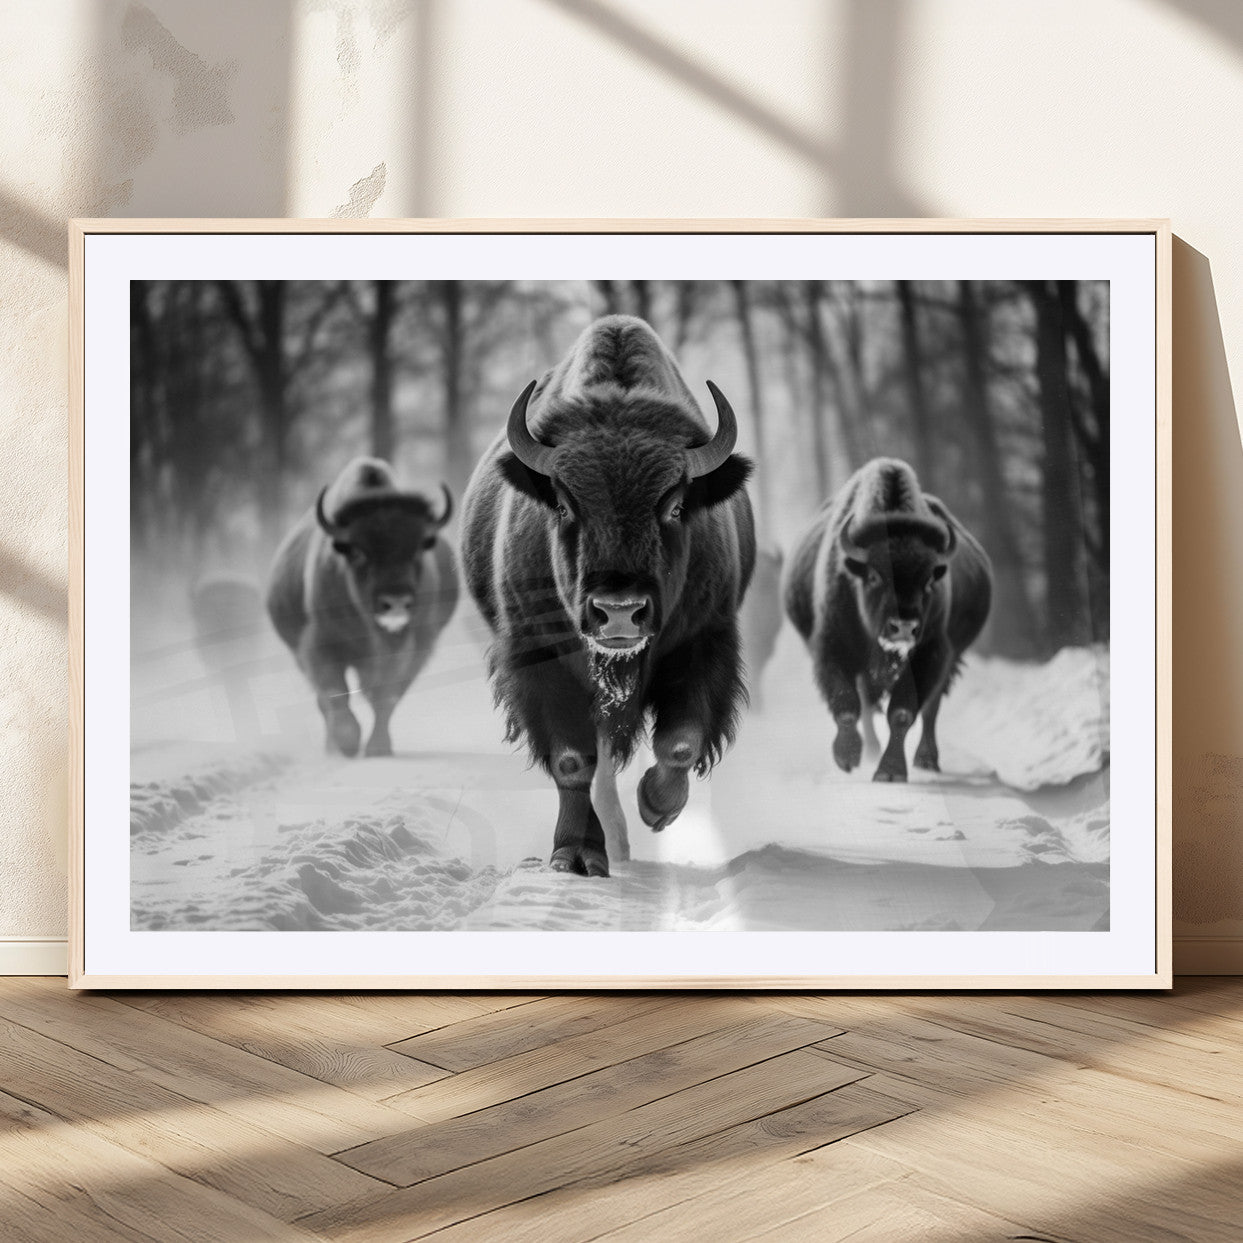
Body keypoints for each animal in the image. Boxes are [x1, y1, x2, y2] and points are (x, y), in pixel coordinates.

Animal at [266, 458, 458, 757]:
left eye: (417, 549)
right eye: (357, 551)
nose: (395, 602)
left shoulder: (415, 647)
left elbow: (387, 697)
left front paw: (378, 747)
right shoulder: (320, 646)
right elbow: (334, 693)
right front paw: (347, 742)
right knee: (325, 700)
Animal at [461, 315, 756, 876]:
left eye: (676, 506)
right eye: (561, 504)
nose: (619, 613)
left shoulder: (705, 643)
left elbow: (680, 742)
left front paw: (657, 807)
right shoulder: (541, 659)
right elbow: (573, 761)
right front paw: (573, 855)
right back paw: (607, 846)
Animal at [784, 457, 992, 782]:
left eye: (929, 581)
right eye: (873, 576)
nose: (903, 627)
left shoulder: (930, 653)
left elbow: (902, 713)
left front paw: (889, 772)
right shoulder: (833, 649)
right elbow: (847, 705)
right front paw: (847, 757)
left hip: (950, 659)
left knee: (931, 708)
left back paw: (926, 760)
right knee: (869, 705)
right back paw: (870, 750)